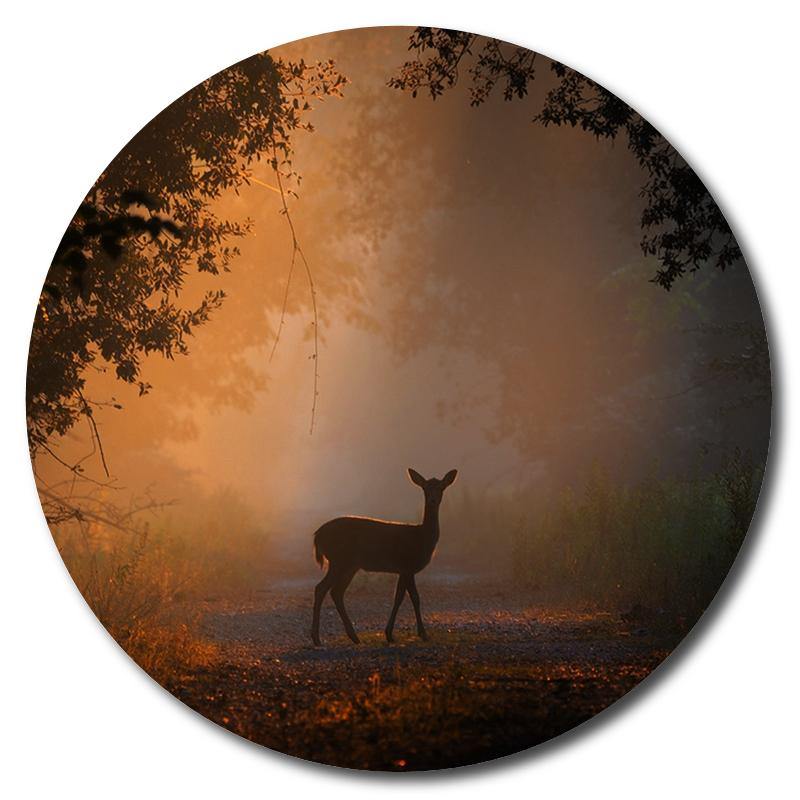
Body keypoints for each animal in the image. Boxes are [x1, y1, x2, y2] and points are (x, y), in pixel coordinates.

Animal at [311, 468, 458, 646]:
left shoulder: (403, 569)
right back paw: (317, 638)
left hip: (349, 565)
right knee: (321, 588)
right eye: (425, 488)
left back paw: (353, 636)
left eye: (441, 487)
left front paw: (389, 634)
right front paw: (422, 634)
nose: (433, 500)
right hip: (339, 560)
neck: (421, 538)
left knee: (336, 591)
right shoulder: (408, 565)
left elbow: (399, 597)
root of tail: (317, 536)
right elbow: (414, 597)